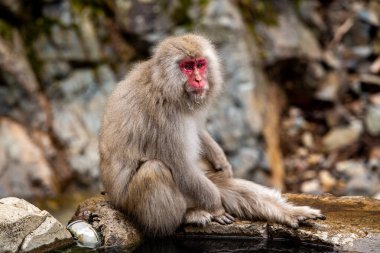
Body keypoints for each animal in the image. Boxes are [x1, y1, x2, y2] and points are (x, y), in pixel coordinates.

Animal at [98, 34, 324, 237]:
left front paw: (220, 159)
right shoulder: (164, 120)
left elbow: (198, 131)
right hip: (131, 205)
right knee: (155, 170)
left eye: (200, 64)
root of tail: (114, 199)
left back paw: (287, 212)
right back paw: (187, 216)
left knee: (221, 183)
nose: (199, 79)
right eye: (187, 67)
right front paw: (216, 207)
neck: (165, 88)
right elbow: (182, 168)